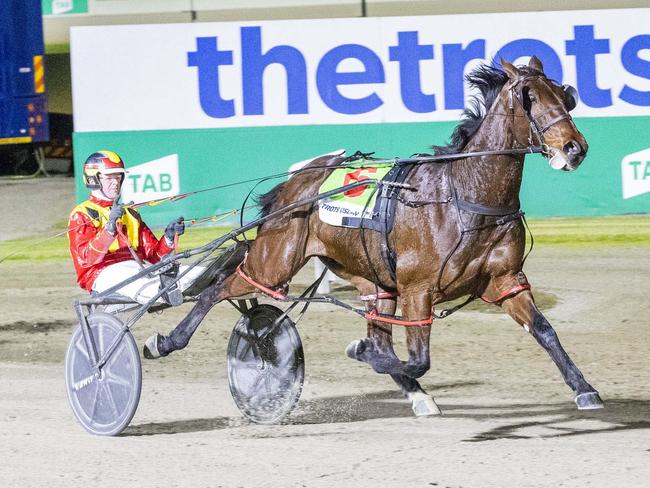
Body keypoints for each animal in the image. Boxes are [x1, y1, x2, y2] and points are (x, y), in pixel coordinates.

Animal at [143, 57, 604, 416]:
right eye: (529, 97)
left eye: (564, 94)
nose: (575, 147)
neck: (464, 194)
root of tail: (295, 185)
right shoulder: (418, 290)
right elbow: (416, 358)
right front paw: (366, 354)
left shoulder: (505, 281)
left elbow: (544, 331)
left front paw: (584, 389)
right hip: (274, 261)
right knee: (219, 286)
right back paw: (166, 341)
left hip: (373, 280)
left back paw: (413, 392)